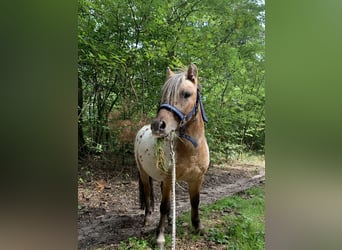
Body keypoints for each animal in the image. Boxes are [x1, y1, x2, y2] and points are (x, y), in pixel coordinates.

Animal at [133, 64, 208, 248]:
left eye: (186, 94)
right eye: (163, 94)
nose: (157, 125)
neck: (191, 150)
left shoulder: (197, 179)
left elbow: (195, 202)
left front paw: (198, 227)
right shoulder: (168, 179)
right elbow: (164, 205)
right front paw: (159, 237)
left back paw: (170, 220)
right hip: (144, 174)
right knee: (148, 196)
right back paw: (147, 220)